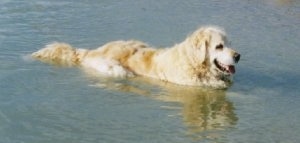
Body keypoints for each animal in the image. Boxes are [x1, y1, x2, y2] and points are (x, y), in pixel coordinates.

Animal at [31, 25, 240, 88]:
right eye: (219, 46)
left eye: (230, 44)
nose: (238, 56)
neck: (193, 62)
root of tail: (91, 51)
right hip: (117, 69)